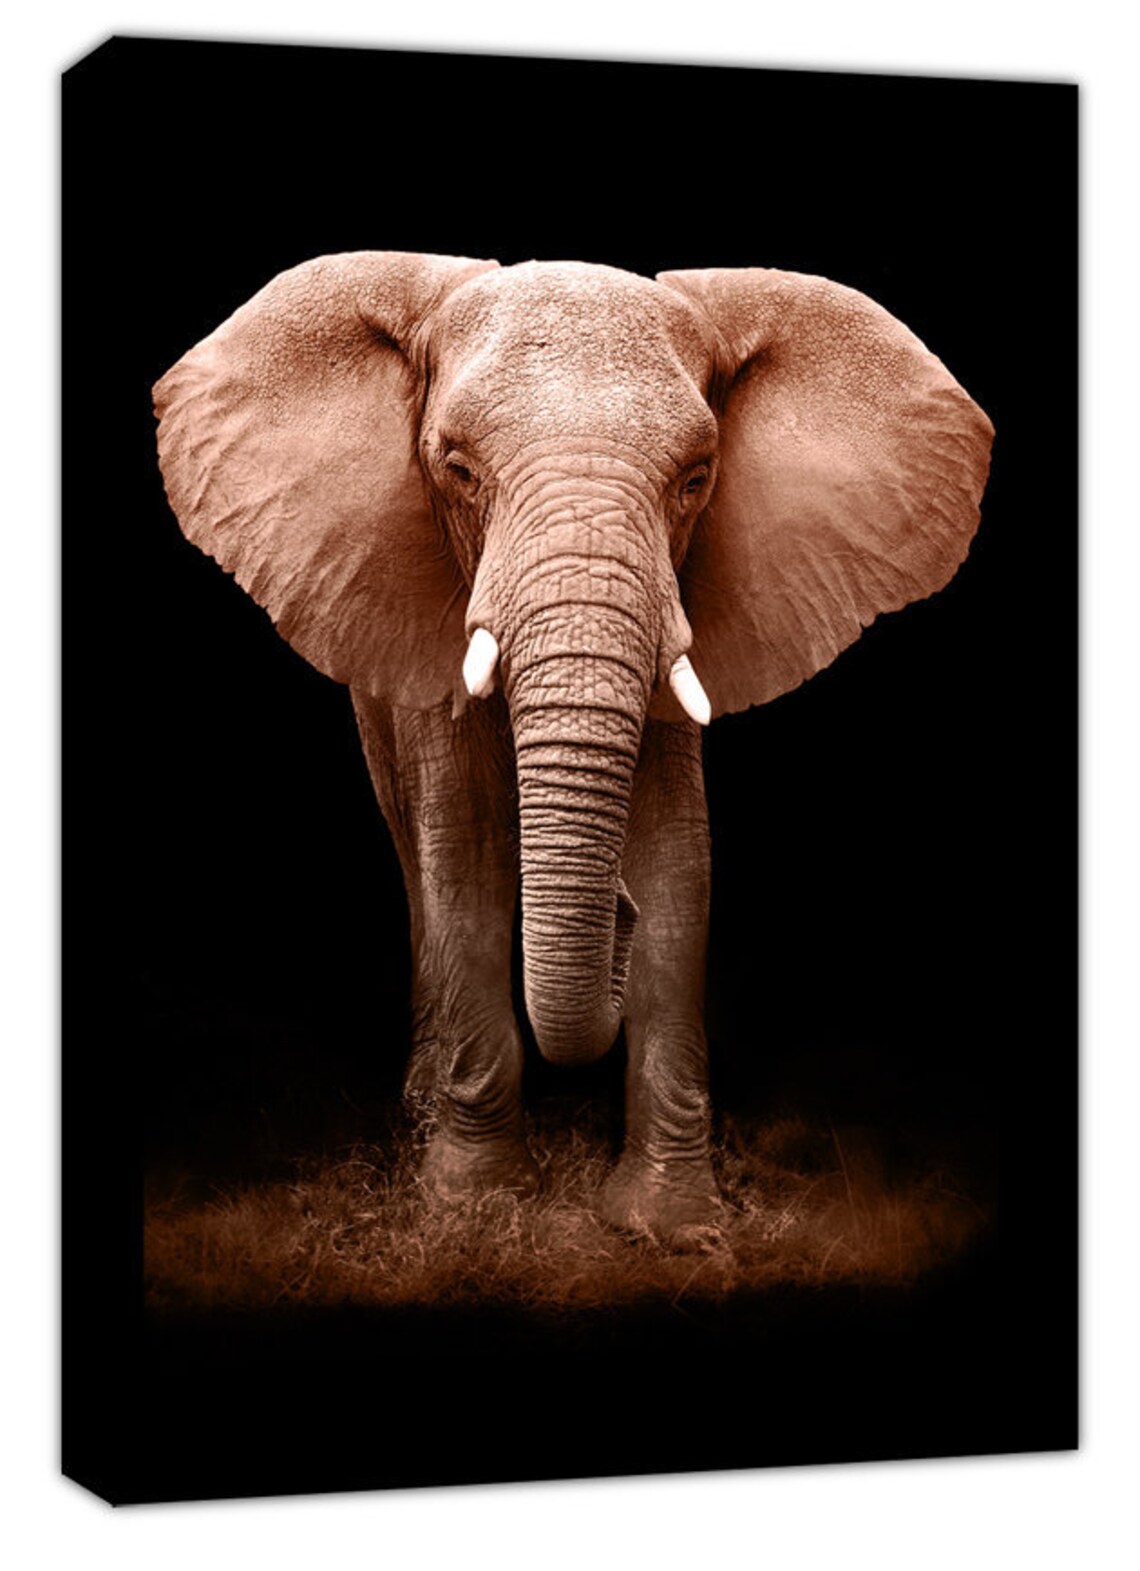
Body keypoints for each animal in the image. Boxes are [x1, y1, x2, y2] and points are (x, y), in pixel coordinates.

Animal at [153, 252, 992, 1247]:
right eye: (457, 468)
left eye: (697, 477)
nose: (613, 913)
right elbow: (465, 851)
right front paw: (474, 1203)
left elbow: (678, 861)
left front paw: (669, 1224)